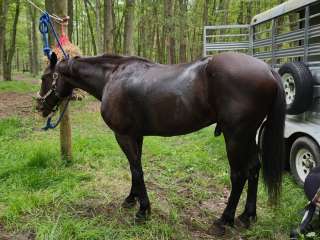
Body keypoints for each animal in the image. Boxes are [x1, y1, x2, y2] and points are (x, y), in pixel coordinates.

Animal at [35, 52, 284, 234]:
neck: (111, 77)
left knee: (239, 175)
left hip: (235, 137)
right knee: (253, 169)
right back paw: (247, 216)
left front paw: (143, 210)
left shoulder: (123, 135)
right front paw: (132, 199)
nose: (40, 107)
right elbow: (135, 168)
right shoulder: (136, 135)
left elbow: (136, 169)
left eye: (45, 77)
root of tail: (268, 69)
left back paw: (224, 220)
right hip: (247, 136)